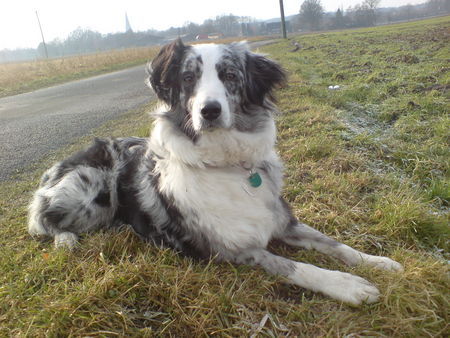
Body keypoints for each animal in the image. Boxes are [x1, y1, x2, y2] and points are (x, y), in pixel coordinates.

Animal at [28, 38, 402, 304]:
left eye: (230, 76)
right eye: (188, 78)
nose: (209, 111)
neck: (227, 163)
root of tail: (55, 169)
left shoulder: (285, 222)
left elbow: (335, 245)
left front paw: (378, 262)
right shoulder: (234, 250)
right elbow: (295, 266)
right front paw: (347, 285)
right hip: (88, 193)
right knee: (44, 220)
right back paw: (65, 239)